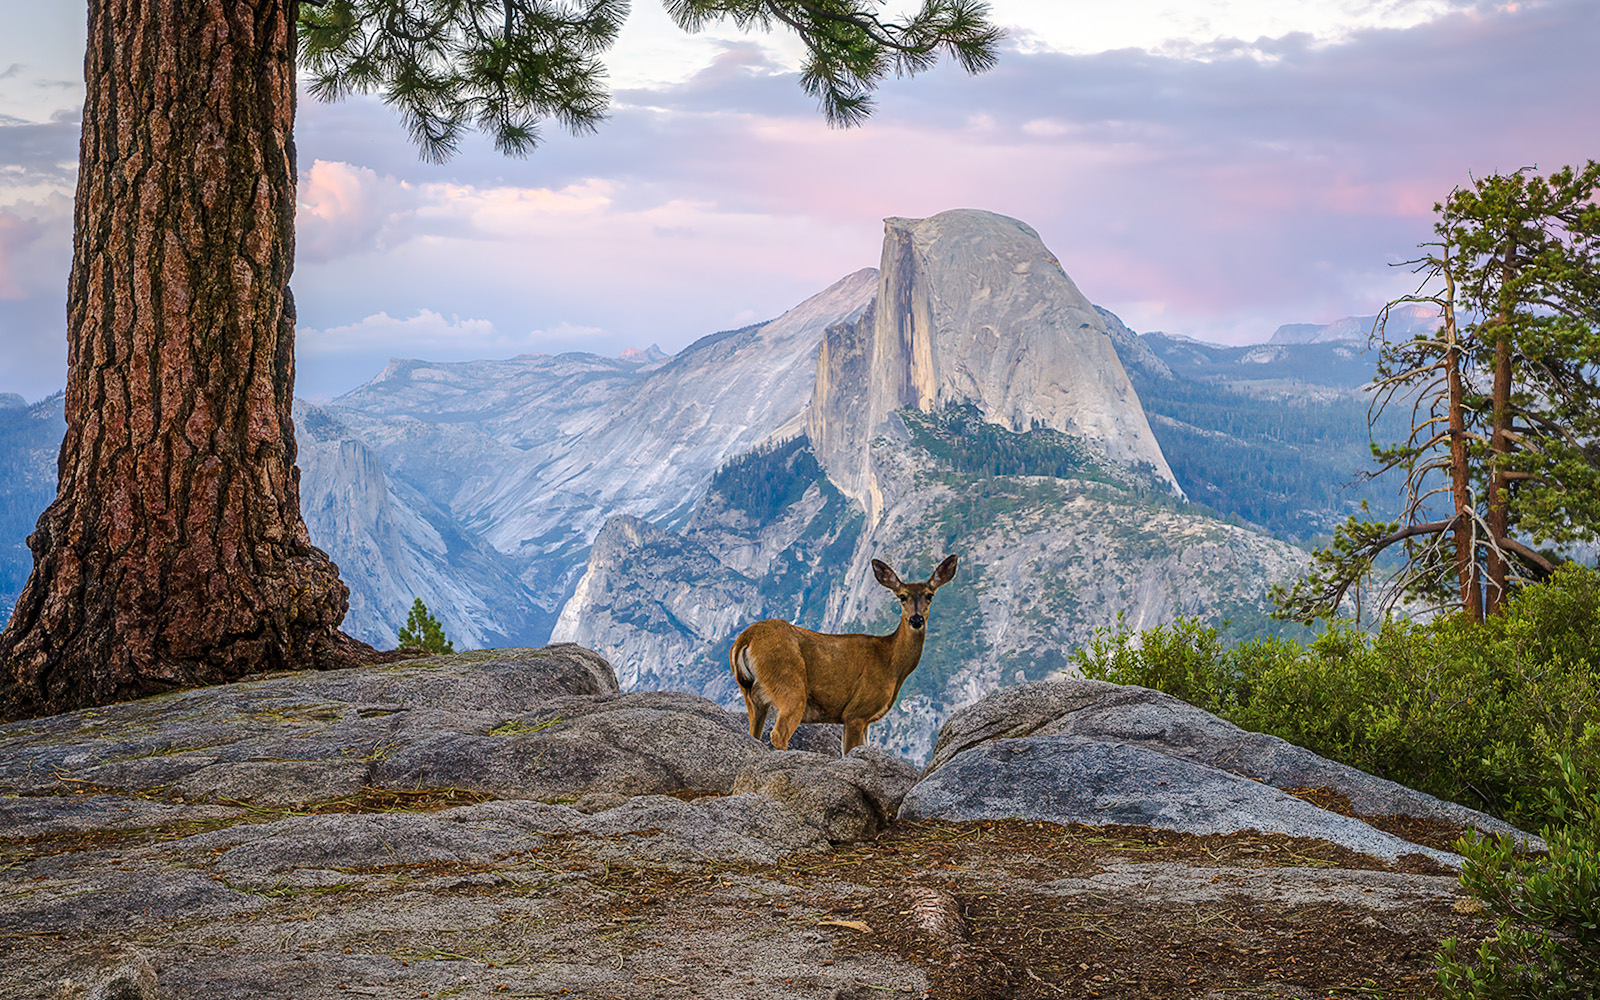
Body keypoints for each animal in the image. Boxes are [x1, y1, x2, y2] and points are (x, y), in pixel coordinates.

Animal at [730, 554, 959, 755]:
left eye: (929, 595)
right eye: (902, 596)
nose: (916, 620)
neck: (891, 663)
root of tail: (745, 639)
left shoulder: (864, 720)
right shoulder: (856, 712)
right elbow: (849, 752)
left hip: (752, 695)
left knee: (753, 733)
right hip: (789, 684)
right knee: (779, 733)